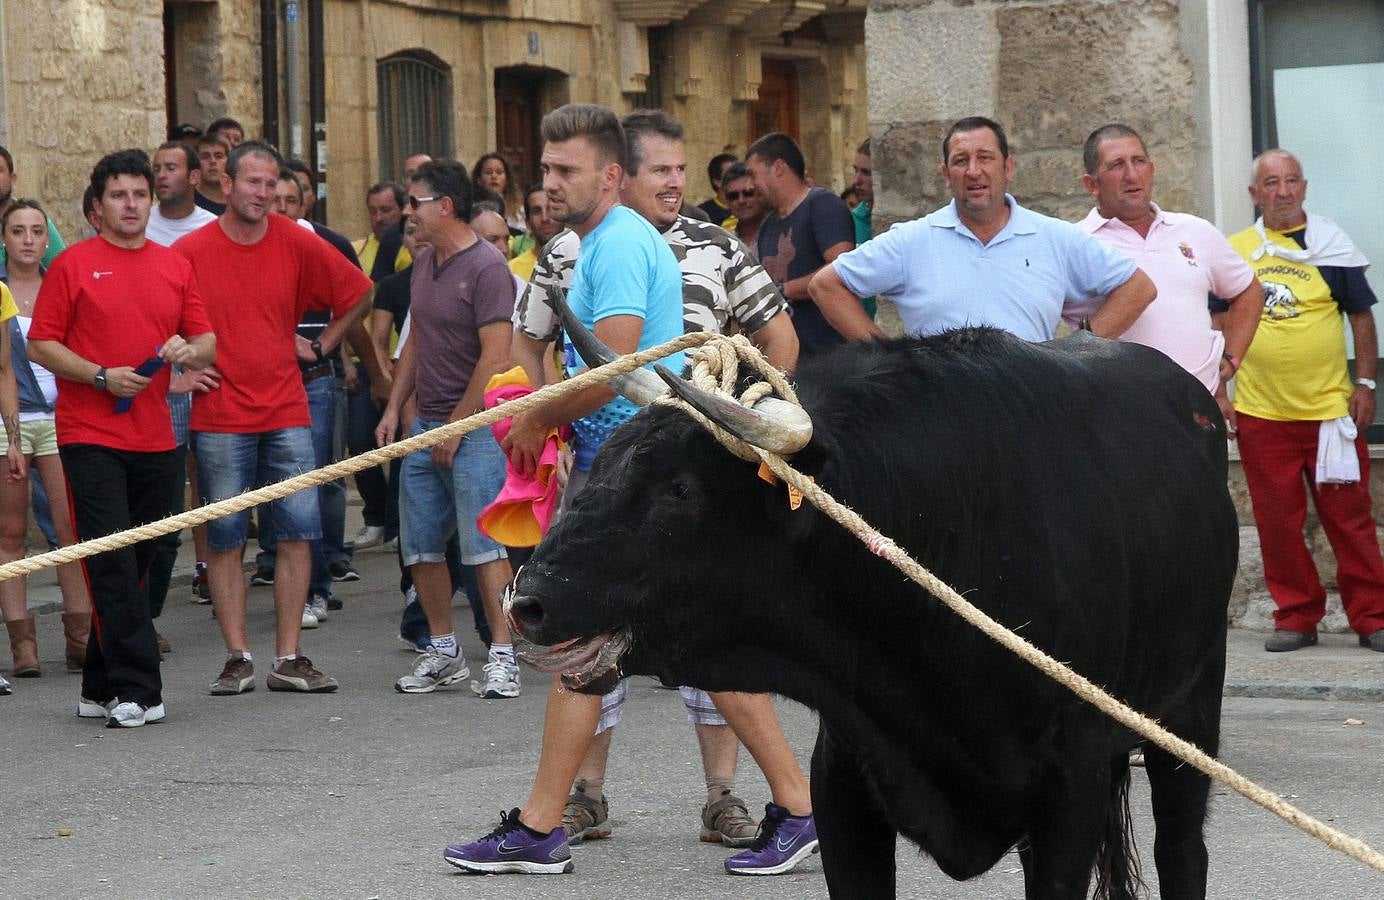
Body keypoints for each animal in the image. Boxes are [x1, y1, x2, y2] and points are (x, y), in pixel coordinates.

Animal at [506, 325, 1234, 891]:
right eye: (603, 464)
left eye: (679, 489)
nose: (527, 600)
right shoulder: (844, 781)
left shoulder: (1069, 788)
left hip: (1190, 715)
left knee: (1183, 853)